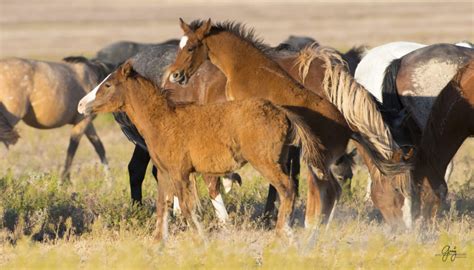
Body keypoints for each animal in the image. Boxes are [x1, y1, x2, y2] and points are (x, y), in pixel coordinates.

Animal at [78, 61, 326, 240]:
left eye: (107, 85)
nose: (81, 105)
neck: (163, 121)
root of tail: (282, 111)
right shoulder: (166, 173)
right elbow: (163, 207)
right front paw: (159, 240)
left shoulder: (180, 173)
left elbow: (187, 208)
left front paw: (201, 237)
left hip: (266, 163)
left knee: (287, 188)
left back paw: (284, 231)